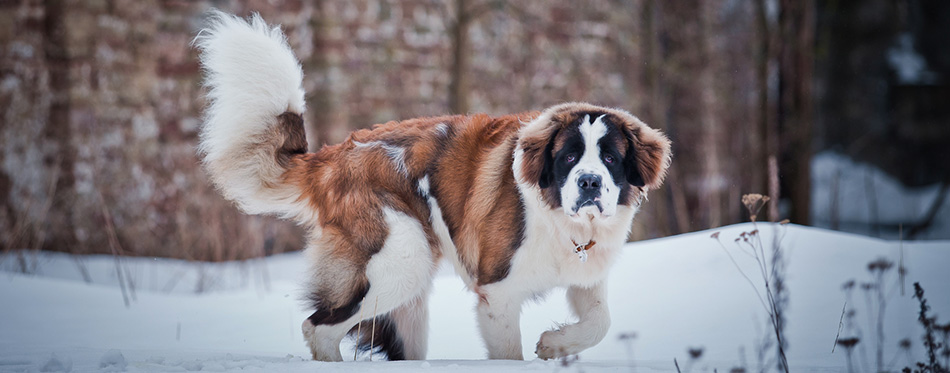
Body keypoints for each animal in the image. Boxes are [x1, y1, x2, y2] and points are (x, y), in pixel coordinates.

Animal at [193, 10, 672, 360]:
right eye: (569, 157)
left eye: (610, 158)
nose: (589, 182)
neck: (566, 225)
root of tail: (335, 155)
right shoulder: (497, 294)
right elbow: (511, 352)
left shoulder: (586, 278)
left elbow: (600, 323)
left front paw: (556, 345)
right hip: (400, 257)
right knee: (320, 328)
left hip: (410, 302)